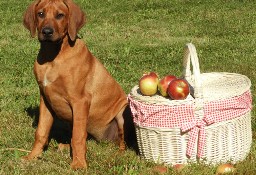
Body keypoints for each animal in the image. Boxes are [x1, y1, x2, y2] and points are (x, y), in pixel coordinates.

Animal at [22, 0, 128, 170]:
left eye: (60, 15)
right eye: (40, 14)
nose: (47, 32)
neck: (54, 56)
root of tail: (104, 140)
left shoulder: (80, 101)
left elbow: (78, 136)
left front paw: (78, 164)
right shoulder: (45, 99)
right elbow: (41, 132)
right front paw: (33, 156)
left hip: (122, 113)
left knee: (123, 145)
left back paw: (117, 155)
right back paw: (64, 146)